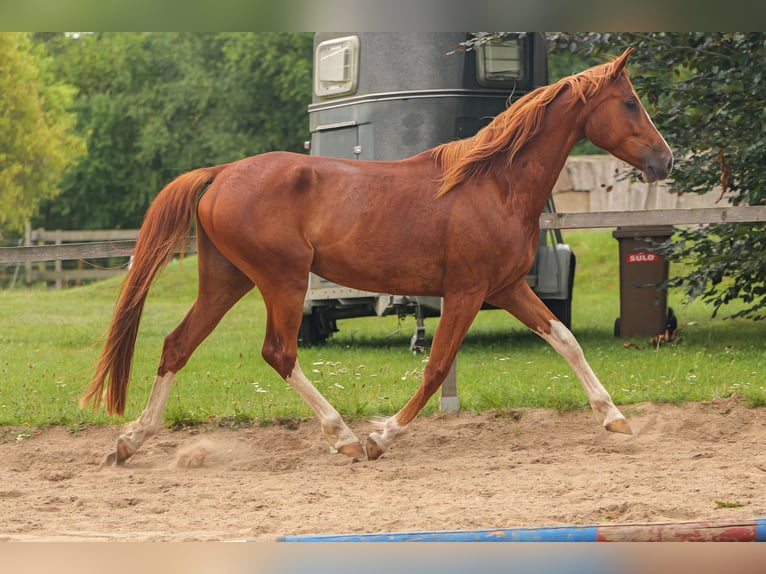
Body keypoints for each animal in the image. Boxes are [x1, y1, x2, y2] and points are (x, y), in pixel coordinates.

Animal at [81, 48, 672, 465]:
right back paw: (343, 437)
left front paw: (615, 418)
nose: (665, 160)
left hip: (227, 280)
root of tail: (222, 173)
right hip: (283, 280)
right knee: (280, 353)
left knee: (177, 345)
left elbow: (566, 340)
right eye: (630, 103)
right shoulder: (465, 292)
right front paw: (381, 437)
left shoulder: (507, 287)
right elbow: (436, 367)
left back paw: (131, 441)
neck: (493, 184)